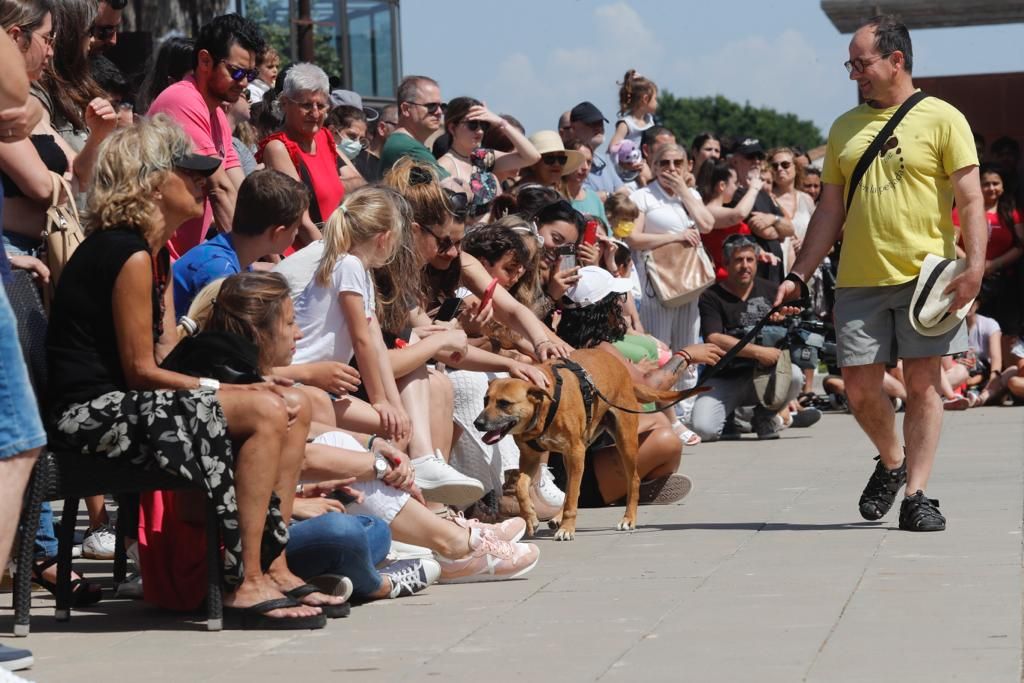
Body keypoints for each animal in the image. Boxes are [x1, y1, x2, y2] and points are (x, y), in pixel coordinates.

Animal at [473, 350, 700, 540]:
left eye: (504, 403)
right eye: (485, 400)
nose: (478, 423)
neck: (546, 405)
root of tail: (620, 365)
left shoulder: (575, 452)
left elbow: (572, 496)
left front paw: (567, 528)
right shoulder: (531, 457)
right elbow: (521, 487)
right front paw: (530, 519)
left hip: (624, 441)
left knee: (633, 480)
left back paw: (628, 519)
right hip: (575, 453)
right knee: (572, 488)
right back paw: (557, 516)